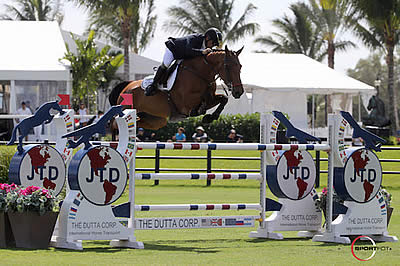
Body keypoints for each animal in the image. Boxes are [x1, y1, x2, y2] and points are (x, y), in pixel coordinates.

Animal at [108, 45, 244, 131]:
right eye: (228, 66)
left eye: (240, 66)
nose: (239, 92)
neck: (200, 72)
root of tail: (127, 86)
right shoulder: (186, 103)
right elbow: (203, 99)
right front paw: (202, 111)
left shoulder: (211, 97)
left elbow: (223, 98)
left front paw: (209, 118)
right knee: (114, 123)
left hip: (156, 120)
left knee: (138, 121)